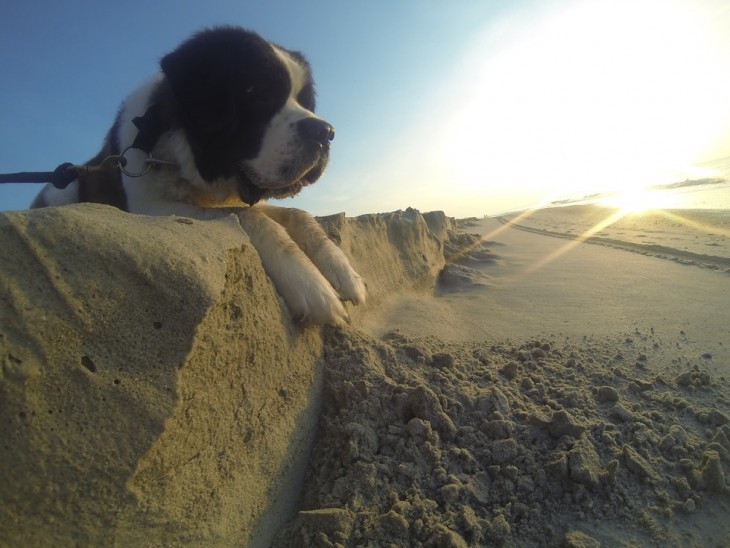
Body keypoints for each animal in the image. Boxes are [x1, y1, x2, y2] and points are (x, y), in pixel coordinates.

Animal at [32, 26, 366, 326]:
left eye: (305, 102)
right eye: (259, 93)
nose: (325, 132)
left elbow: (298, 214)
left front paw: (344, 273)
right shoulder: (147, 207)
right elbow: (250, 217)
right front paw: (311, 284)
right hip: (63, 186)